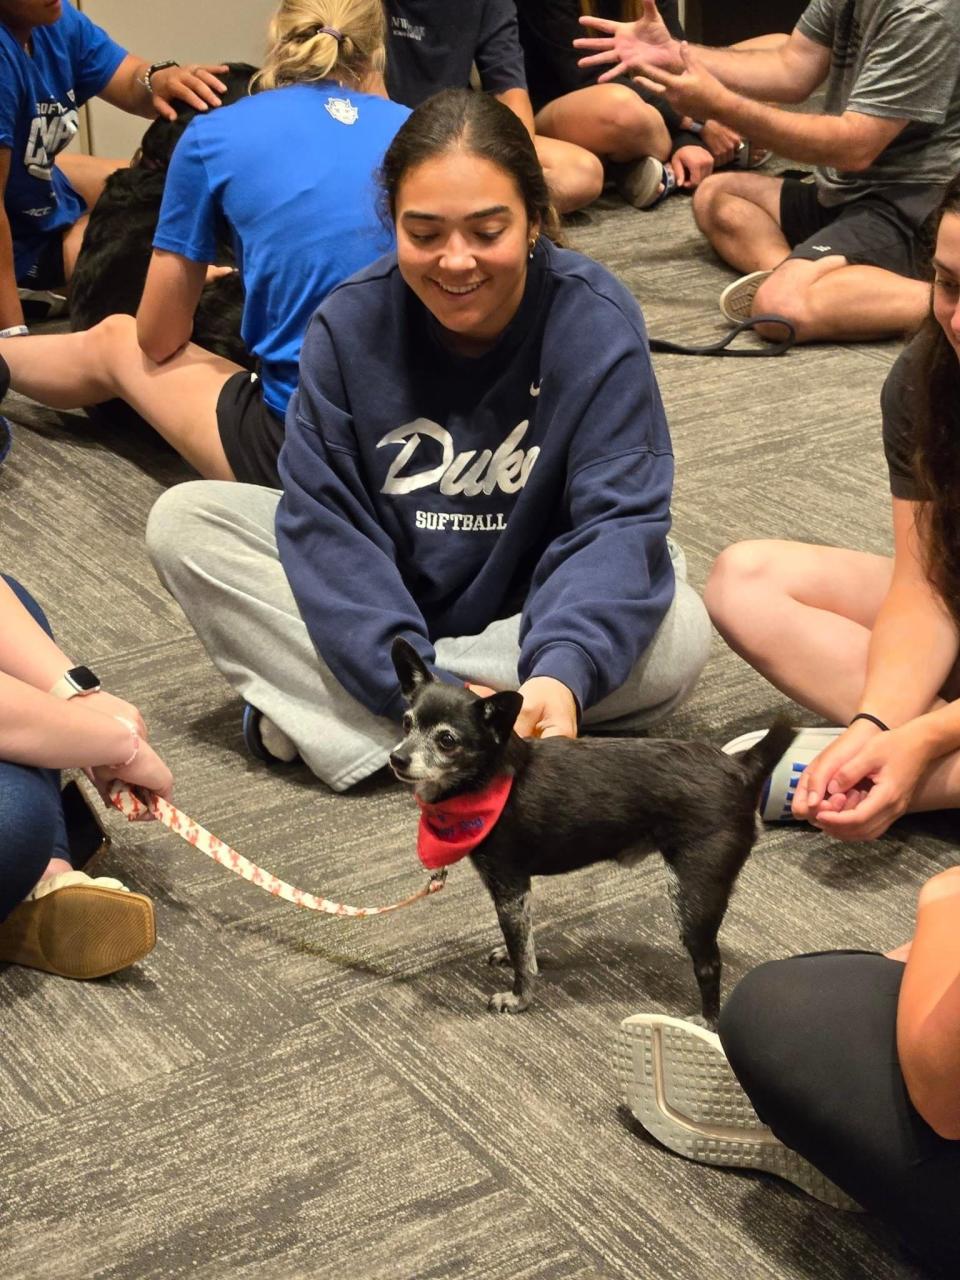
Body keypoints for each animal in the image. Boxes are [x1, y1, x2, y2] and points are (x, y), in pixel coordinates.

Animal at [391, 634, 798, 1024]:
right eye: (407, 723)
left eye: (447, 740)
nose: (397, 757)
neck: (487, 778)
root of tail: (742, 767)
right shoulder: (519, 896)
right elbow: (525, 943)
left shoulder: (509, 889)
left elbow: (522, 954)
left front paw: (520, 997)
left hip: (692, 894)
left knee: (709, 964)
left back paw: (706, 1020)